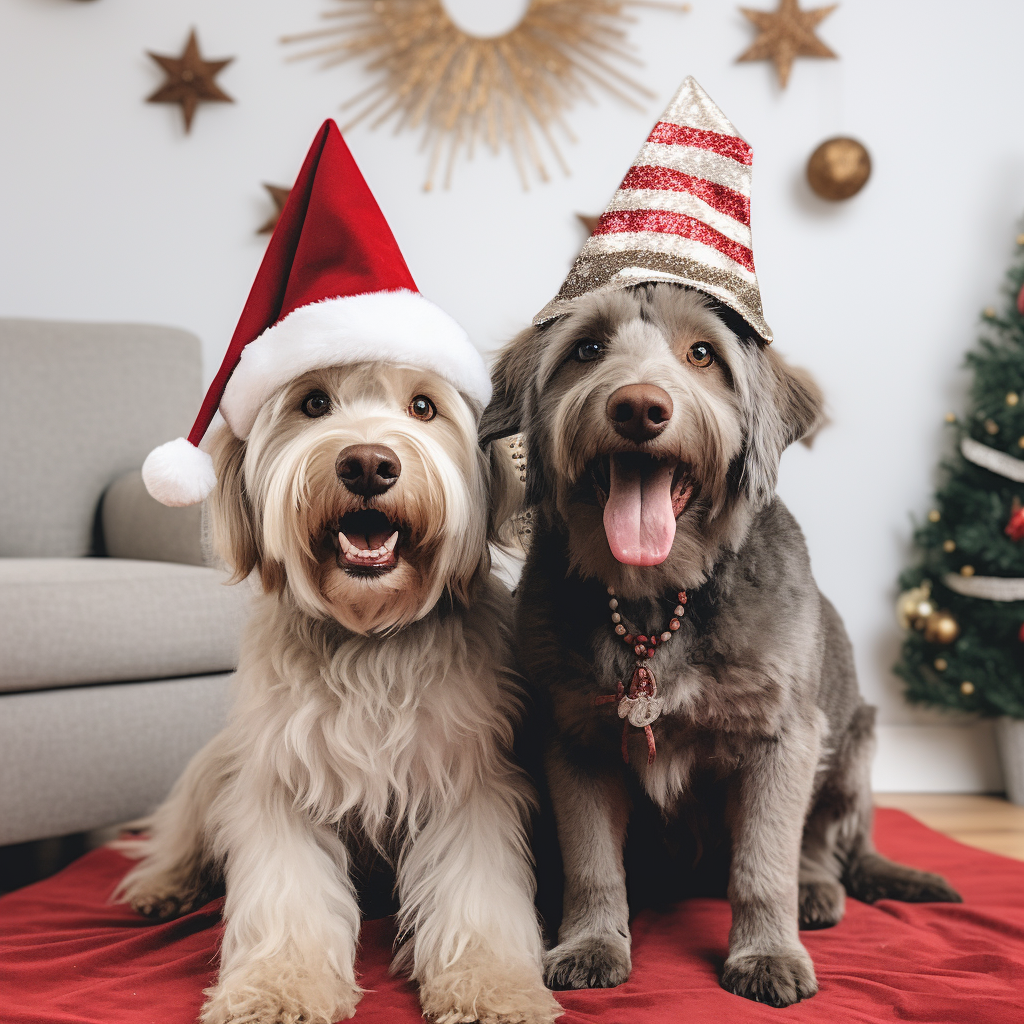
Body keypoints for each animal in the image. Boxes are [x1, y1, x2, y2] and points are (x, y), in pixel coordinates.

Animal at [117, 362, 561, 1024]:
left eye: (424, 407)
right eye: (312, 403)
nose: (368, 465)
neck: (369, 637)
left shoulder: (470, 781)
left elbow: (474, 895)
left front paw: (493, 986)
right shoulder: (280, 779)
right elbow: (287, 896)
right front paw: (277, 988)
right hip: (214, 768)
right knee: (177, 834)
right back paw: (161, 886)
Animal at [479, 286, 958, 1007]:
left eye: (702, 354)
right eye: (587, 348)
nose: (639, 406)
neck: (655, 599)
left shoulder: (783, 737)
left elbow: (764, 864)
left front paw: (766, 953)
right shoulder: (576, 739)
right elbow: (592, 862)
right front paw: (592, 942)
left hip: (851, 745)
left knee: (821, 845)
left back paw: (816, 889)